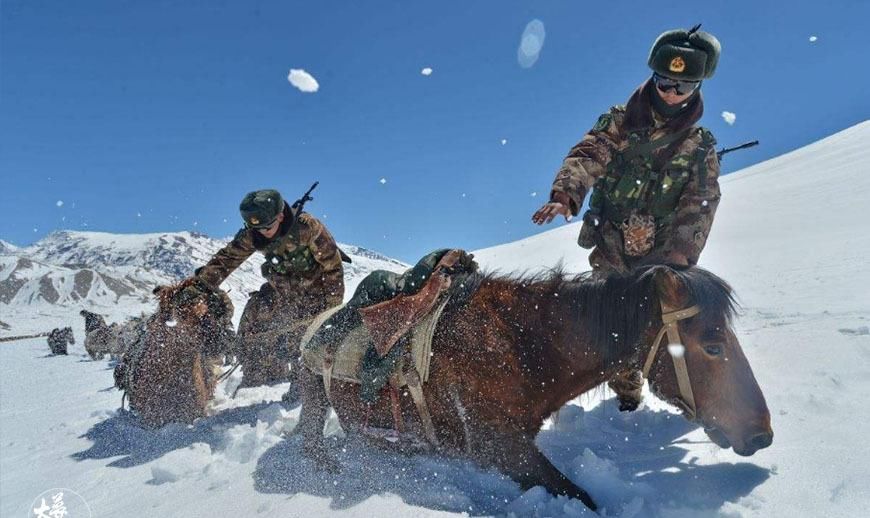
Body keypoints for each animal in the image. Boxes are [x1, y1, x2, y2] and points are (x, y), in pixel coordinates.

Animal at [296, 266, 772, 512]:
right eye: (713, 345)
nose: (761, 434)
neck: (522, 345)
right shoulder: (501, 448)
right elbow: (582, 497)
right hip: (314, 394)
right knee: (311, 440)